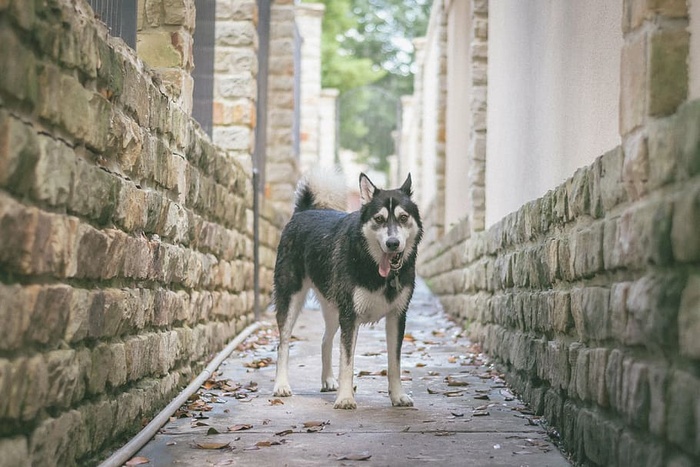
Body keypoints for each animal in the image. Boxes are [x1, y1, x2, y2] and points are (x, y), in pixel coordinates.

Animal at [270, 171, 422, 410]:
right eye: (379, 219)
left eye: (403, 217)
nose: (393, 243)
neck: (375, 267)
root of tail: (303, 211)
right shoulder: (350, 316)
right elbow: (347, 361)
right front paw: (345, 398)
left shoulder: (397, 317)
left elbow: (394, 363)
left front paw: (398, 396)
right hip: (291, 299)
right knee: (283, 343)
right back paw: (282, 385)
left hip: (333, 308)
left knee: (326, 340)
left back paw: (328, 380)